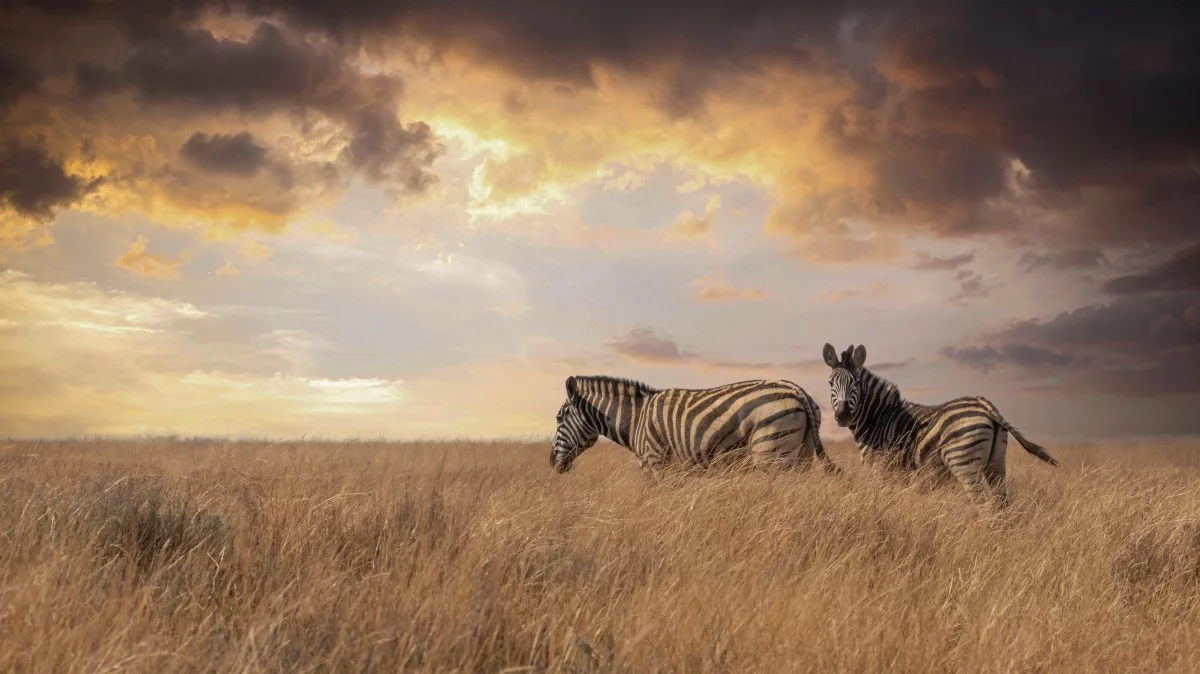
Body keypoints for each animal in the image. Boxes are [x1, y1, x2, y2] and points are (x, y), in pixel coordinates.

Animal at [549, 371, 840, 477]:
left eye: (559, 418)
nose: (552, 463)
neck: (636, 419)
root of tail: (797, 390)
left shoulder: (654, 462)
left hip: (771, 452)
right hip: (800, 454)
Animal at [820, 340, 1056, 503]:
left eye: (856, 384)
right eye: (830, 383)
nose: (842, 415)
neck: (878, 417)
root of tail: (986, 406)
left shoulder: (880, 468)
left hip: (964, 462)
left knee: (983, 505)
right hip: (996, 463)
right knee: (1001, 506)